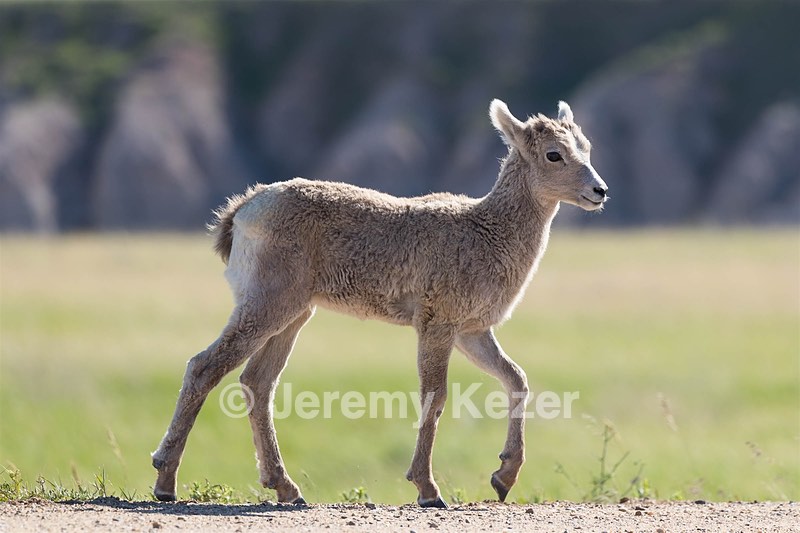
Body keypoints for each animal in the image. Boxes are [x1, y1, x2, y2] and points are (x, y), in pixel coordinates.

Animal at [151, 99, 608, 508]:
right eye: (553, 154)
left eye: (586, 146)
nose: (599, 191)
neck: (487, 231)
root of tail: (243, 210)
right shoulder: (437, 326)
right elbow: (435, 397)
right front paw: (428, 491)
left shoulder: (473, 332)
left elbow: (516, 379)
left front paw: (503, 478)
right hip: (265, 306)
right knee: (204, 367)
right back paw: (165, 483)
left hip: (293, 315)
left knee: (257, 383)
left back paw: (287, 489)